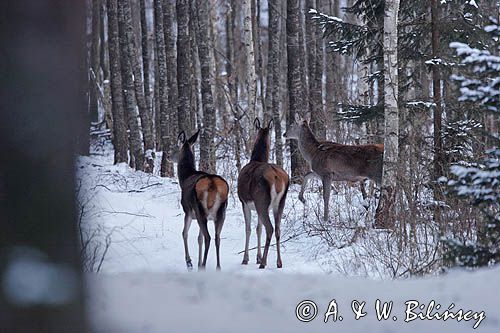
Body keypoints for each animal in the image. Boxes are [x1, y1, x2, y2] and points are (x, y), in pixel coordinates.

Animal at [171, 130, 228, 270]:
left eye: (175, 147)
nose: (169, 156)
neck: (184, 178)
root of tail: (213, 184)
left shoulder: (188, 211)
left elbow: (184, 233)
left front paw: (190, 262)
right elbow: (199, 239)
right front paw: (196, 262)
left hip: (199, 209)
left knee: (208, 237)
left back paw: (203, 266)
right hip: (221, 212)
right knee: (217, 238)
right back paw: (218, 267)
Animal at [238, 118, 290, 268]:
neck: (257, 159)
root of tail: (277, 178)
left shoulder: (244, 202)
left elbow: (249, 229)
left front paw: (247, 259)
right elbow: (258, 229)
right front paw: (257, 257)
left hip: (261, 200)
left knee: (270, 228)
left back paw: (264, 263)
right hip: (280, 202)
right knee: (277, 229)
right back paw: (279, 262)